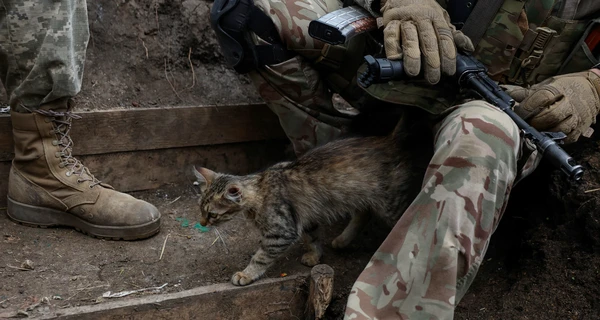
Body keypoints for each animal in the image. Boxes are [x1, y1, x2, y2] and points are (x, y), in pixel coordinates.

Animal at [192, 111, 432, 286]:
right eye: (200, 209)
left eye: (212, 214)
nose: (202, 223)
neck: (260, 188)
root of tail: (390, 139)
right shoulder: (304, 218)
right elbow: (313, 237)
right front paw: (315, 256)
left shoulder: (281, 232)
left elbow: (260, 257)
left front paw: (246, 274)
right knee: (363, 213)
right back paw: (342, 240)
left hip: (390, 204)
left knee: (405, 220)